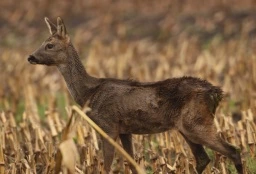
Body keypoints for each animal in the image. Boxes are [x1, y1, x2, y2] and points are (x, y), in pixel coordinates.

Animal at [27, 17, 243, 173]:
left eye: (50, 45)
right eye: (43, 42)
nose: (31, 57)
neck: (88, 92)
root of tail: (216, 92)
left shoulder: (108, 125)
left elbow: (106, 166)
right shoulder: (125, 129)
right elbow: (132, 163)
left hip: (196, 123)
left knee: (233, 151)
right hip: (187, 127)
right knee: (203, 159)